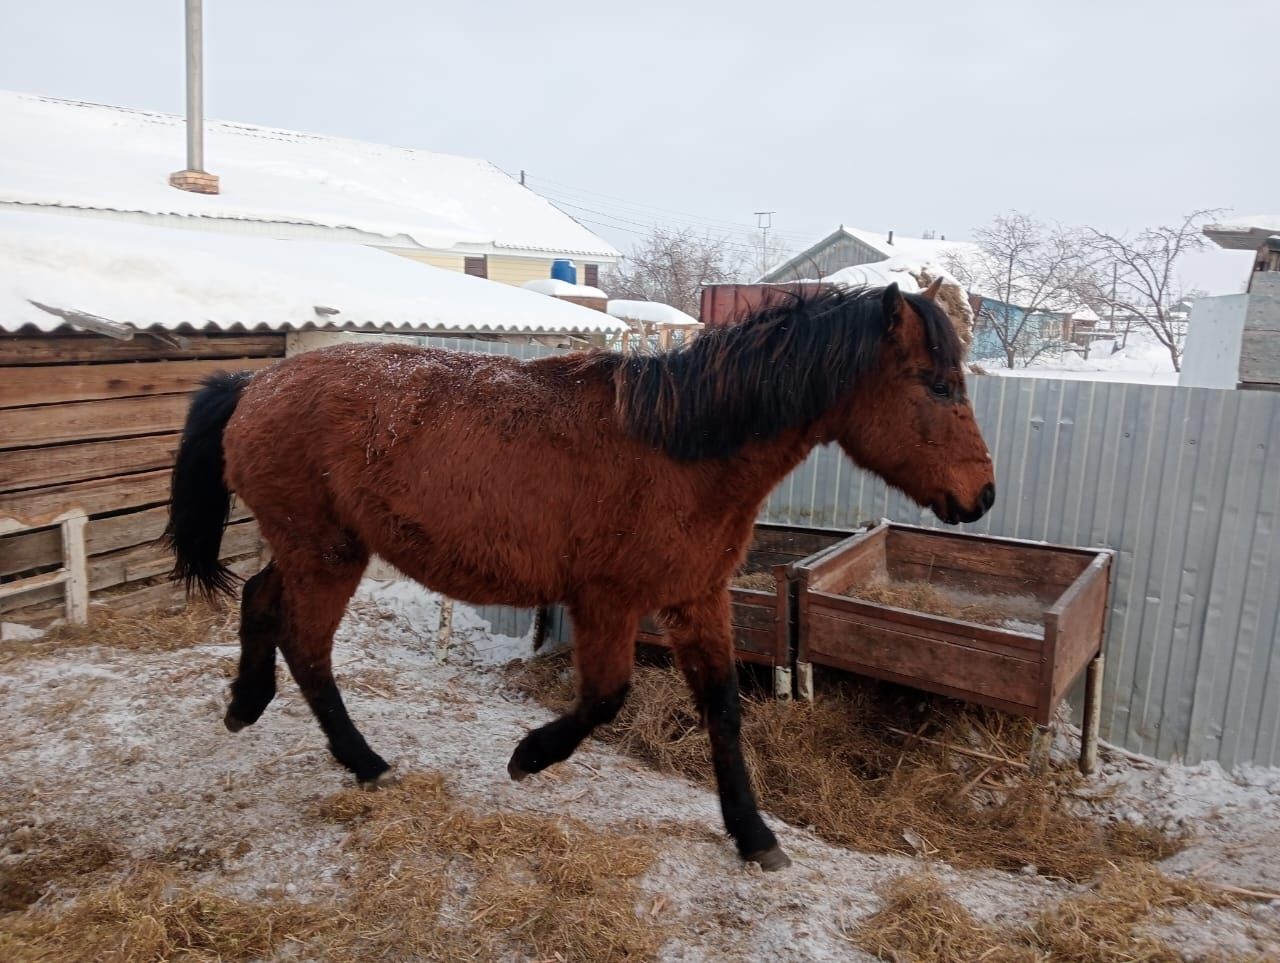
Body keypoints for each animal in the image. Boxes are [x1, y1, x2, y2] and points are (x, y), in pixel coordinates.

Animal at [165, 280, 993, 870]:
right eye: (936, 383)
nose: (981, 495)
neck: (680, 448)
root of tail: (253, 385)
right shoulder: (607, 603)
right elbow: (605, 697)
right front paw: (529, 757)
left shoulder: (700, 599)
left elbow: (724, 710)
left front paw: (754, 834)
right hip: (327, 554)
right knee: (307, 646)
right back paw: (365, 762)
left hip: (310, 549)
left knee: (261, 601)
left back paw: (246, 704)